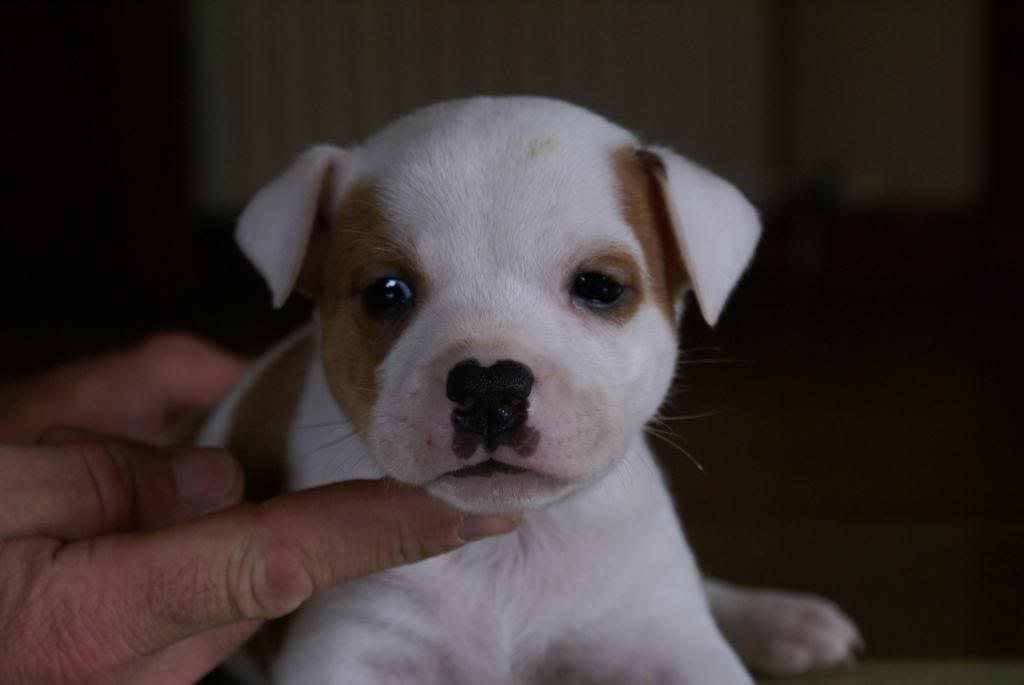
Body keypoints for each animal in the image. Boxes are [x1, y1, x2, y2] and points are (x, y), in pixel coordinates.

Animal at [197, 97, 856, 683]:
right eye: (386, 292)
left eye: (598, 286)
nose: (490, 386)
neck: (512, 547)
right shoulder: (347, 648)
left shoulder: (667, 643)